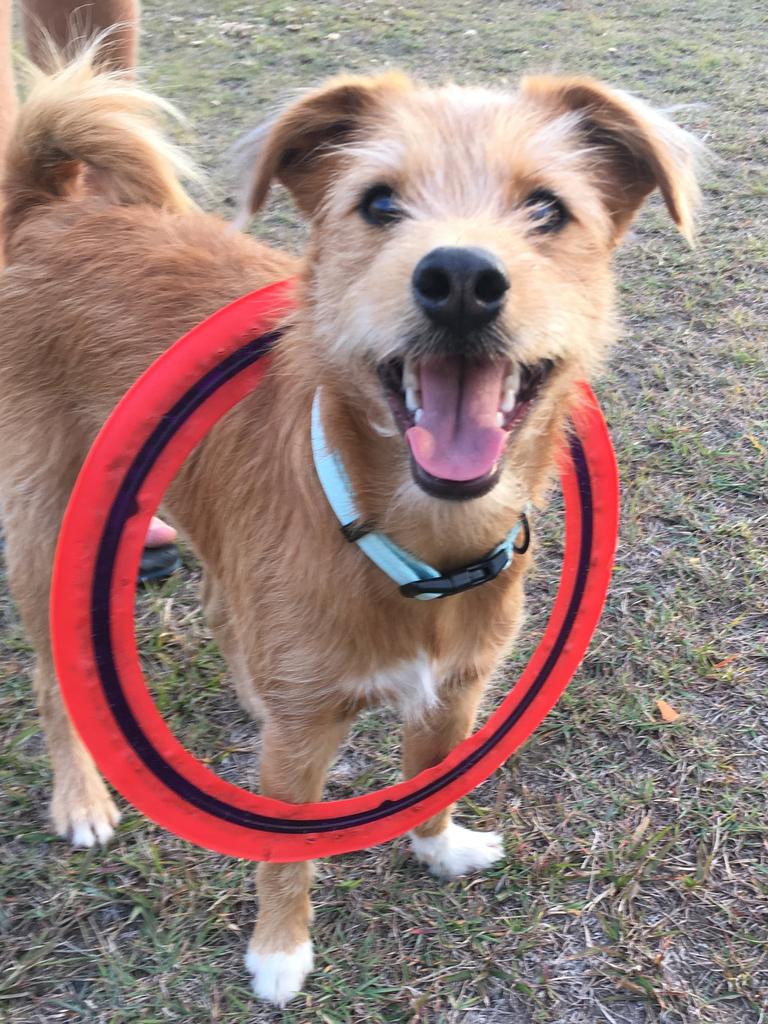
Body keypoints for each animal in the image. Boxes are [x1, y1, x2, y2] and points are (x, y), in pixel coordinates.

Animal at [0, 51, 700, 1003]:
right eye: (378, 204)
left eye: (548, 209)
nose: (461, 279)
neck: (420, 544)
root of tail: (49, 211)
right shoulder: (302, 743)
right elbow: (284, 856)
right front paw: (279, 952)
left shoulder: (459, 687)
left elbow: (429, 776)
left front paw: (438, 847)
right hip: (45, 529)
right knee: (52, 676)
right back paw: (80, 798)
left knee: (221, 608)